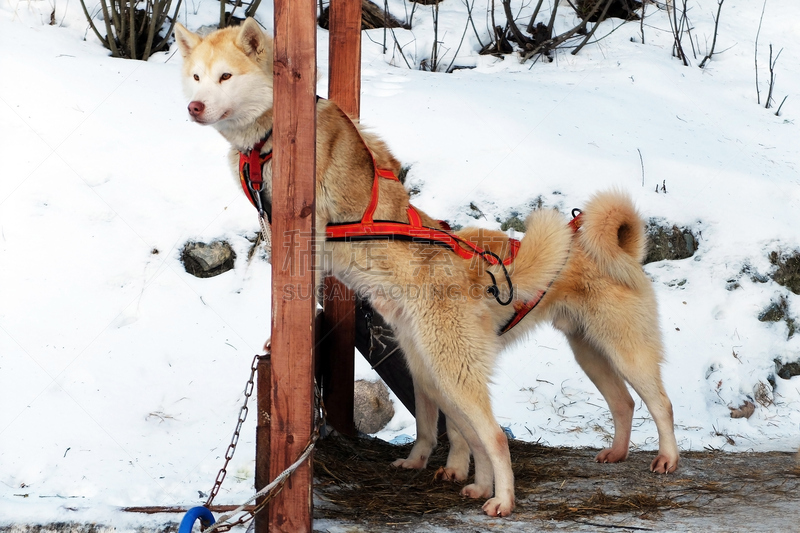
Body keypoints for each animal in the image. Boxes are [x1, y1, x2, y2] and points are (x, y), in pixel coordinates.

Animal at [177, 18, 680, 512]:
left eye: (226, 76)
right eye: (197, 77)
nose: (195, 107)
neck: (265, 138)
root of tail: (620, 250)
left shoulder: (307, 227)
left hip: (594, 357)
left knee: (635, 409)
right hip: (575, 355)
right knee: (619, 405)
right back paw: (602, 456)